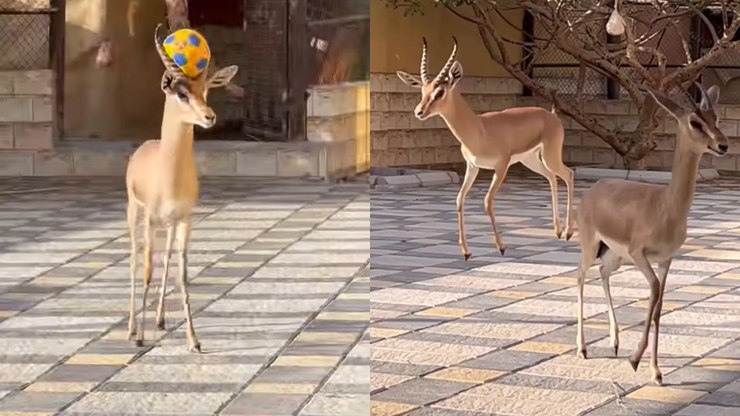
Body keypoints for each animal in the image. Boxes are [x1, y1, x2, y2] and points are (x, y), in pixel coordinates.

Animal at [125, 24, 238, 352]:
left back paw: (161, 320)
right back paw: (131, 329)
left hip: (169, 225)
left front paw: (194, 340)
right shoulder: (150, 219)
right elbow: (147, 271)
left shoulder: (185, 219)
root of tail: (145, 147)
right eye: (181, 93)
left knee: (166, 263)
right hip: (135, 214)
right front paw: (140, 337)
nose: (209, 117)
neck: (168, 175)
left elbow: (182, 273)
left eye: (206, 89)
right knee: (135, 260)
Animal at [396, 38, 575, 259]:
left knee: (568, 174)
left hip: (550, 156)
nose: (419, 112)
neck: (479, 129)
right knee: (552, 177)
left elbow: (488, 201)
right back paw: (557, 230)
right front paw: (465, 252)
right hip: (531, 160)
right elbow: (459, 200)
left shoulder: (501, 167)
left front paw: (501, 247)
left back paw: (568, 232)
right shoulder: (472, 167)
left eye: (440, 92)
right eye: (422, 90)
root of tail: (551, 115)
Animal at [574, 83, 729, 385]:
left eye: (715, 118)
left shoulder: (666, 260)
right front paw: (636, 360)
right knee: (580, 278)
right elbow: (654, 291)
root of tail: (595, 188)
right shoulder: (640, 255)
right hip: (591, 246)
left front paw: (656, 371)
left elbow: (659, 306)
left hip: (614, 255)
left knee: (603, 273)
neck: (665, 205)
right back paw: (583, 348)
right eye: (695, 121)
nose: (723, 145)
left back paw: (615, 343)